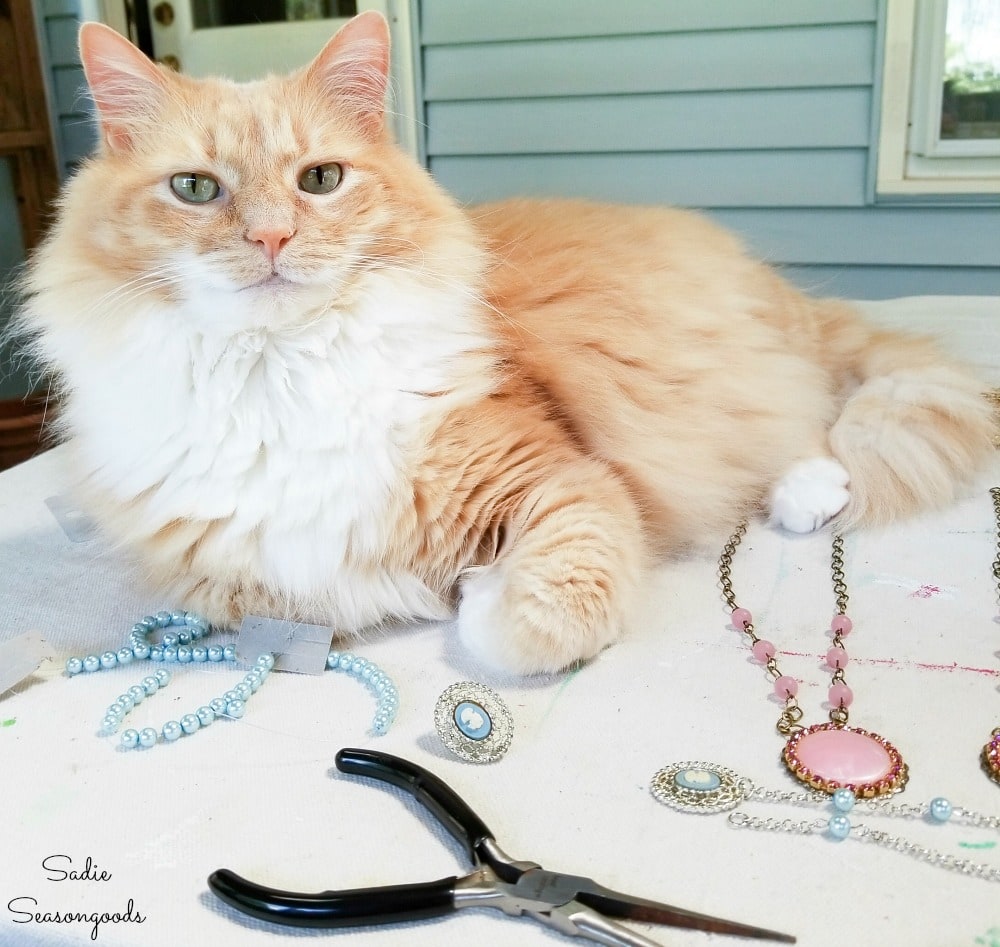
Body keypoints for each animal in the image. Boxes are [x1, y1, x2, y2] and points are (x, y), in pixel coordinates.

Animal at [19, 9, 996, 672]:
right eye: (195, 188)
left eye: (321, 180)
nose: (270, 238)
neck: (279, 379)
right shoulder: (250, 587)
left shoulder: (566, 481)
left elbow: (531, 620)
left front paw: (482, 596)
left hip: (742, 365)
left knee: (815, 407)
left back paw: (807, 491)